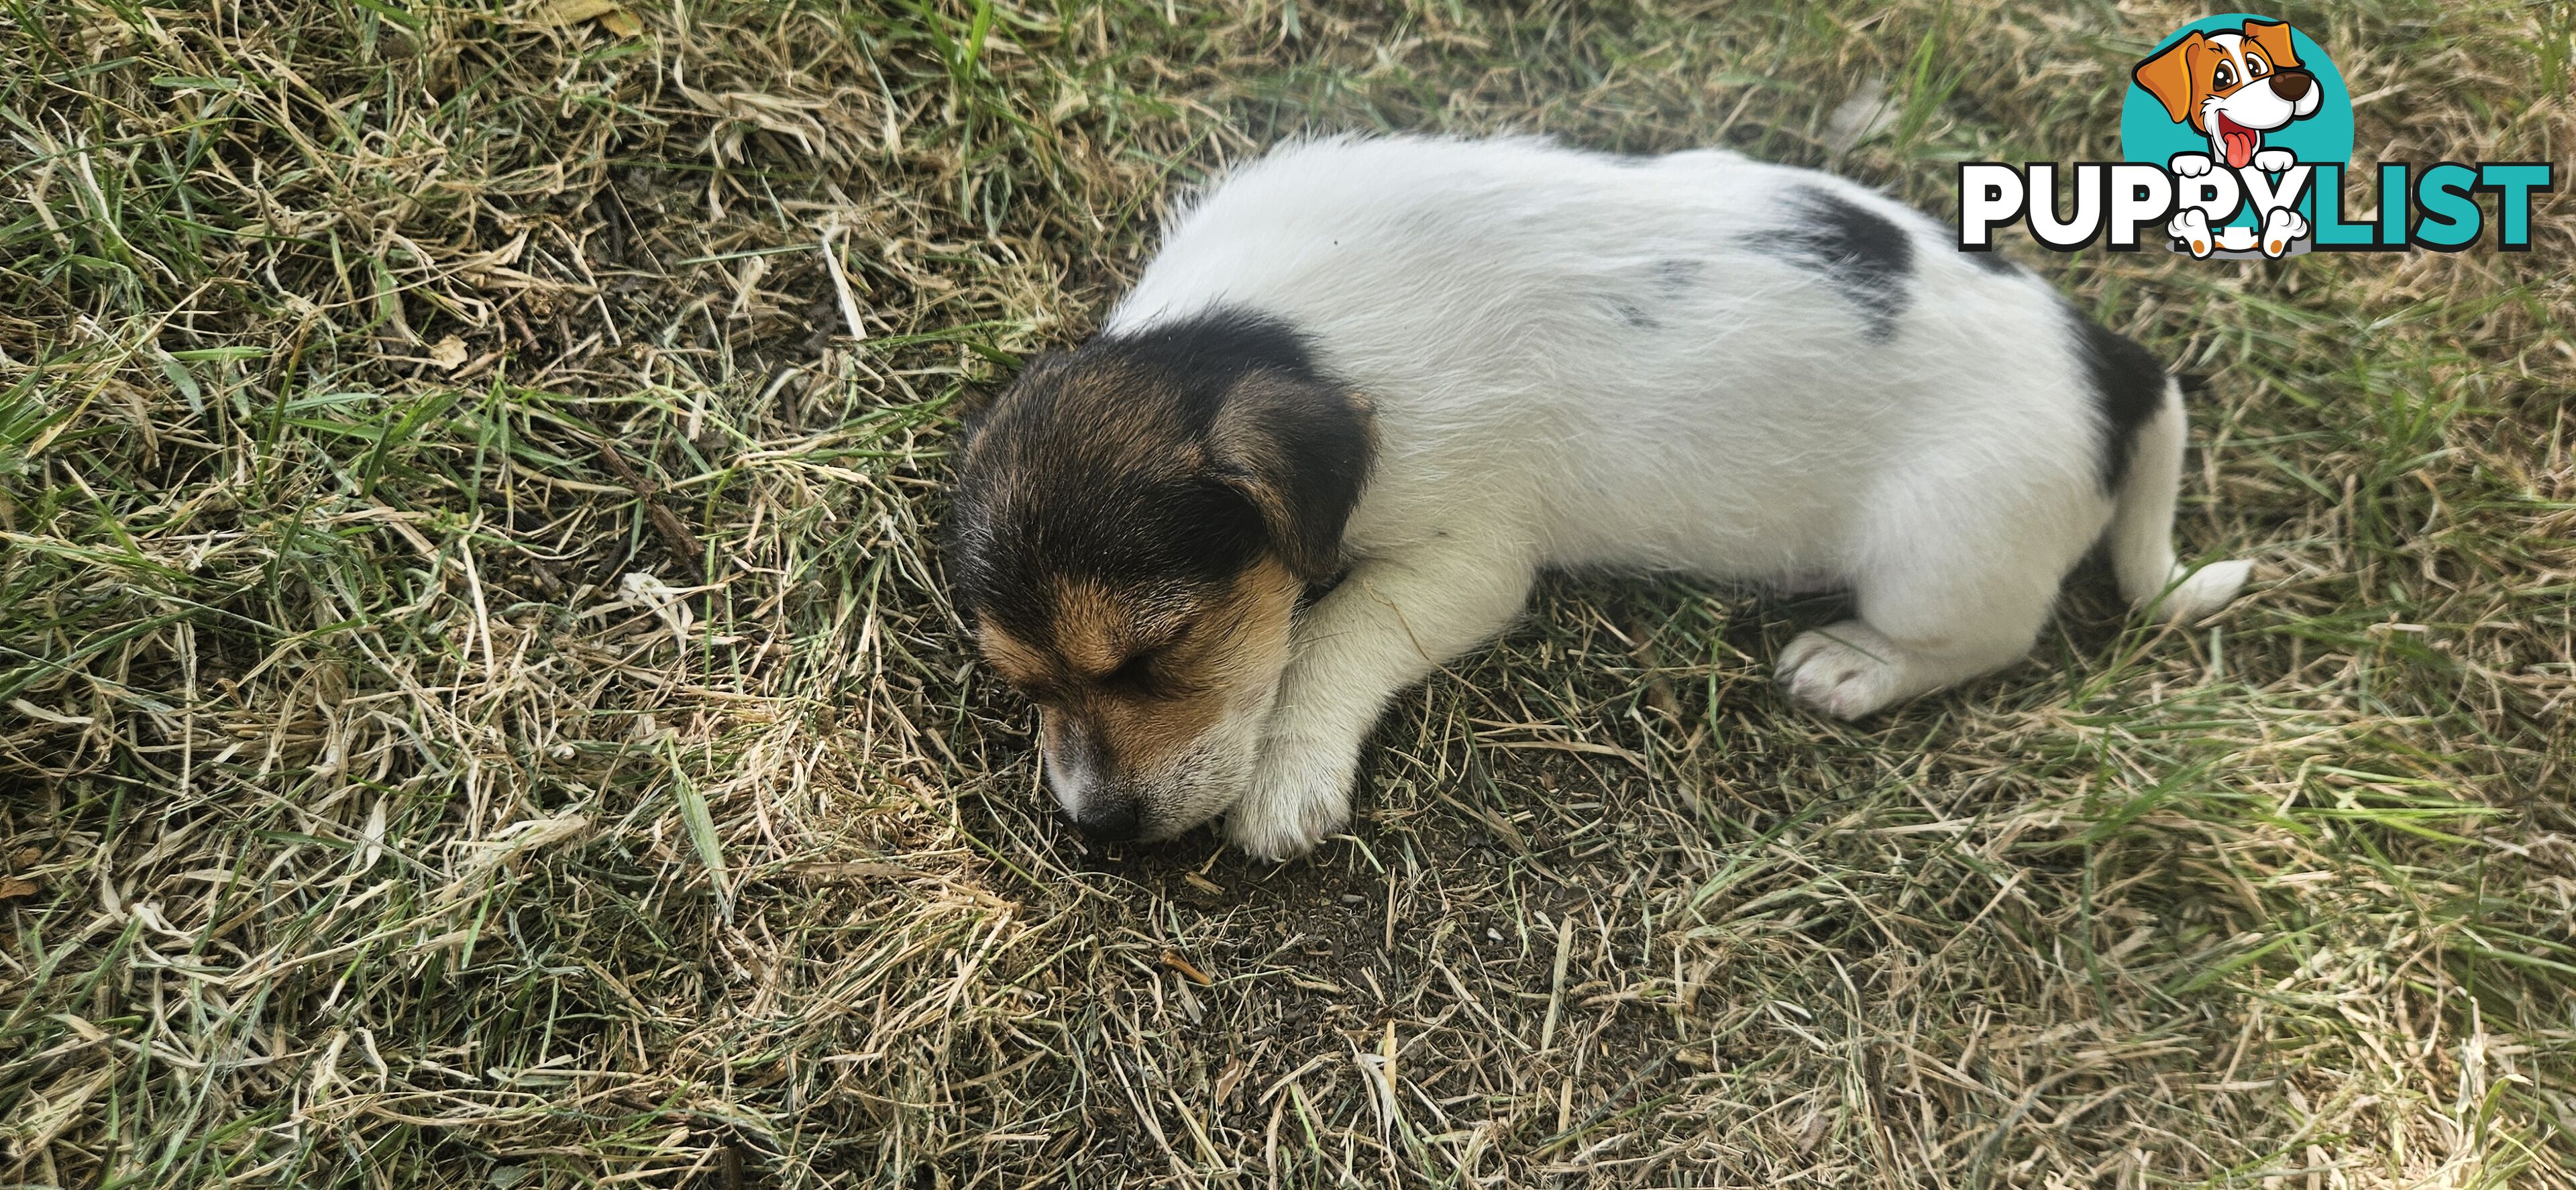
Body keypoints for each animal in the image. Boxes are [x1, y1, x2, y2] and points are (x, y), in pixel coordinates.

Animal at [948, 134, 2256, 860]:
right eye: (1024, 684)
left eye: (1157, 654)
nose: (1096, 829)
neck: (1266, 332)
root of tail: (2114, 369)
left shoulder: (1467, 559)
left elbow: (1331, 633)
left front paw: (1287, 775)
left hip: (1938, 551)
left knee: (1988, 639)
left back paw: (1853, 663)